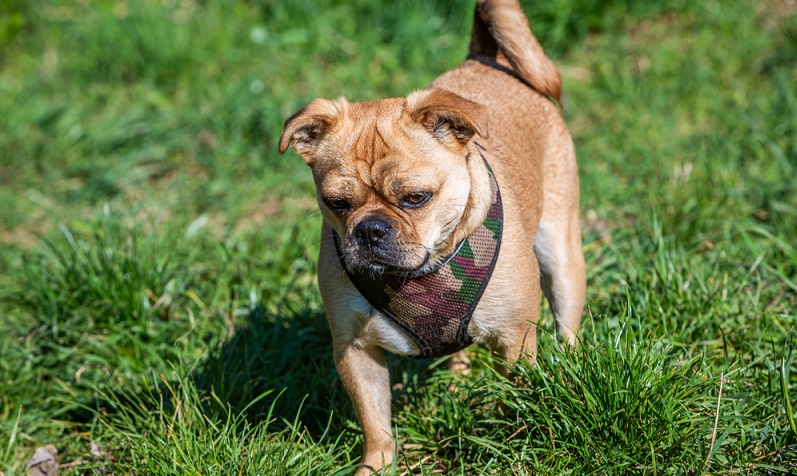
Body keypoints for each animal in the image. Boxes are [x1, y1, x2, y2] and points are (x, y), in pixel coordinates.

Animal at [278, 0, 584, 472]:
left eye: (416, 198)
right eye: (337, 203)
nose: (369, 229)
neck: (420, 272)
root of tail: (485, 59)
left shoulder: (514, 338)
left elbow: (514, 393)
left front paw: (514, 435)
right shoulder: (354, 349)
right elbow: (376, 423)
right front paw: (377, 465)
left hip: (561, 253)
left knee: (567, 324)